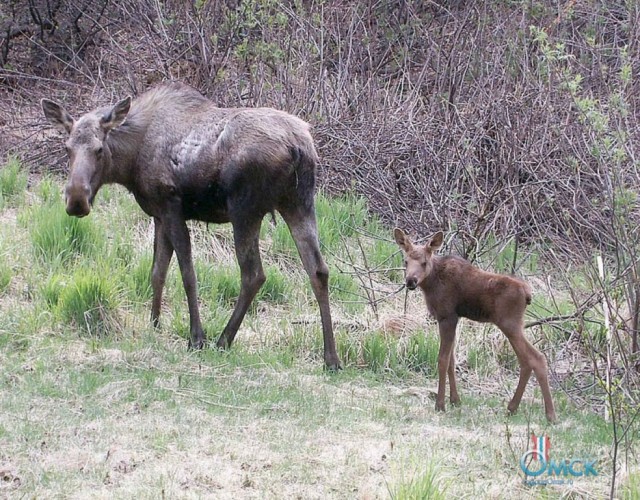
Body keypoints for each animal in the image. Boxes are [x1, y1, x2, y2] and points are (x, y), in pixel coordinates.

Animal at [40, 82, 342, 370]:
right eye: (67, 148)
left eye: (100, 149)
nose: (76, 200)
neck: (131, 161)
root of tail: (298, 148)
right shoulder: (159, 215)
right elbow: (157, 272)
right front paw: (154, 324)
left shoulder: (172, 207)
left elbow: (187, 274)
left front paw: (196, 337)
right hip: (300, 204)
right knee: (318, 270)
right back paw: (331, 358)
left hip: (245, 210)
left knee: (254, 274)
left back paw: (223, 340)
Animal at [392, 229, 556, 424]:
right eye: (406, 261)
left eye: (424, 262)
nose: (411, 281)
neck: (431, 283)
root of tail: (528, 295)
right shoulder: (453, 318)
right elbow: (452, 360)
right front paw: (455, 400)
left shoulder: (447, 317)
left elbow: (442, 360)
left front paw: (440, 404)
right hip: (514, 325)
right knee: (527, 361)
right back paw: (512, 407)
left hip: (510, 324)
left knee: (536, 358)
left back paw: (550, 414)